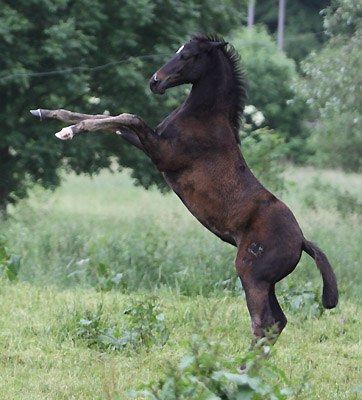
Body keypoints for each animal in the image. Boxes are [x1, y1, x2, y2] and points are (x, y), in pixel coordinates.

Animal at [29, 33, 338, 340]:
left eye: (187, 56)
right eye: (178, 50)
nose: (155, 82)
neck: (203, 118)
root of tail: (302, 240)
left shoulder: (163, 154)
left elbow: (129, 117)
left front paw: (68, 131)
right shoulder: (148, 141)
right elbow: (110, 119)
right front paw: (46, 113)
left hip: (252, 274)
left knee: (262, 323)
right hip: (268, 282)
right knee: (277, 322)